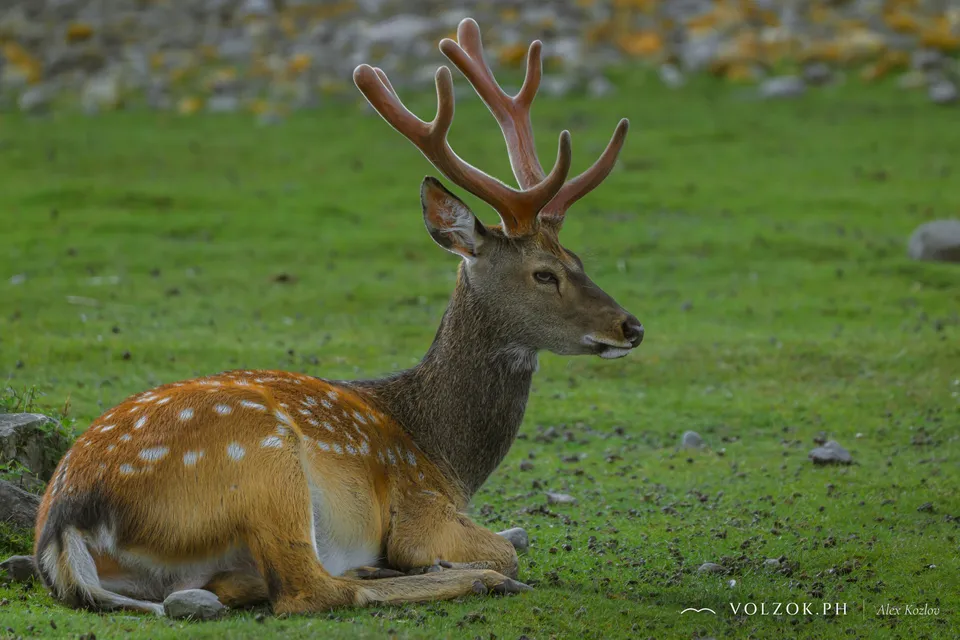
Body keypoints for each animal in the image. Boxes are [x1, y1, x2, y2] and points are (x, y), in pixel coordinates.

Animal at [32, 18, 643, 617]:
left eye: (578, 260)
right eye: (544, 273)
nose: (631, 326)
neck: (445, 457)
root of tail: (67, 528)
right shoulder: (419, 506)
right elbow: (506, 549)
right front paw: (448, 565)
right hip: (263, 464)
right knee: (309, 590)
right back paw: (450, 577)